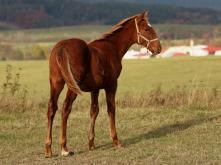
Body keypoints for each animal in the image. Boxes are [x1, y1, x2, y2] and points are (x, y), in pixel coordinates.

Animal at [45, 10, 161, 158]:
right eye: (146, 29)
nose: (158, 48)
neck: (112, 47)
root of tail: (62, 48)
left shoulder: (95, 89)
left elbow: (94, 111)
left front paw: (91, 144)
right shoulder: (111, 85)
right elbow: (111, 109)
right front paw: (116, 141)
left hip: (56, 83)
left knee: (52, 108)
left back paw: (48, 149)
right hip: (73, 86)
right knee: (66, 108)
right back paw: (64, 148)